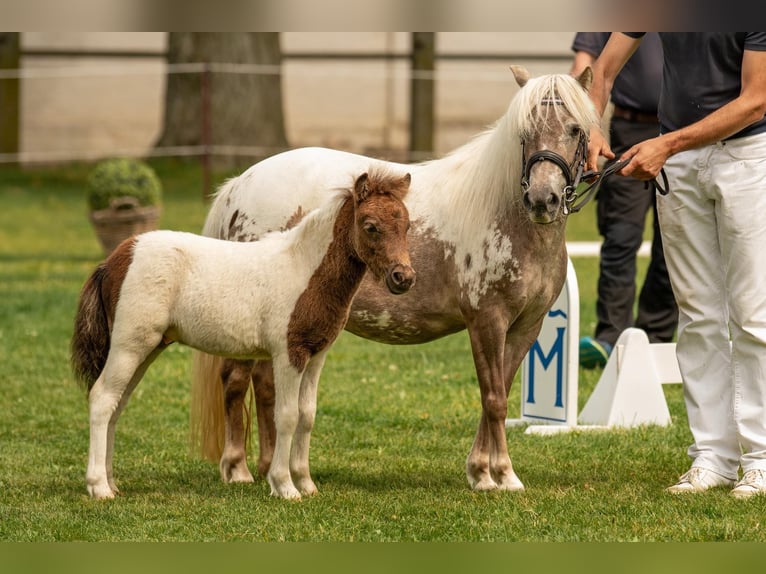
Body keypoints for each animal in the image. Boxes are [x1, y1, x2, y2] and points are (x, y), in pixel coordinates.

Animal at [71, 170, 416, 500]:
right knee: (102, 398)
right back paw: (99, 487)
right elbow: (287, 415)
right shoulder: (288, 353)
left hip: (147, 348)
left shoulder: (317, 355)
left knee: (117, 404)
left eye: (407, 225)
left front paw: (306, 484)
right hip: (129, 346)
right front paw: (284, 487)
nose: (403, 277)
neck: (304, 269)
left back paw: (112, 483)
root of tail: (115, 259)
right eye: (370, 226)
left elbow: (307, 415)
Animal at [190, 65, 600, 492]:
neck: (504, 215)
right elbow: (494, 399)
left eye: (574, 129)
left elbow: (497, 392)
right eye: (524, 132)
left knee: (265, 385)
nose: (542, 199)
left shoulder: (525, 327)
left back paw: (270, 464)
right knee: (236, 380)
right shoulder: (487, 322)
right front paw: (500, 474)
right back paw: (237, 468)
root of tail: (240, 184)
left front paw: (481, 470)